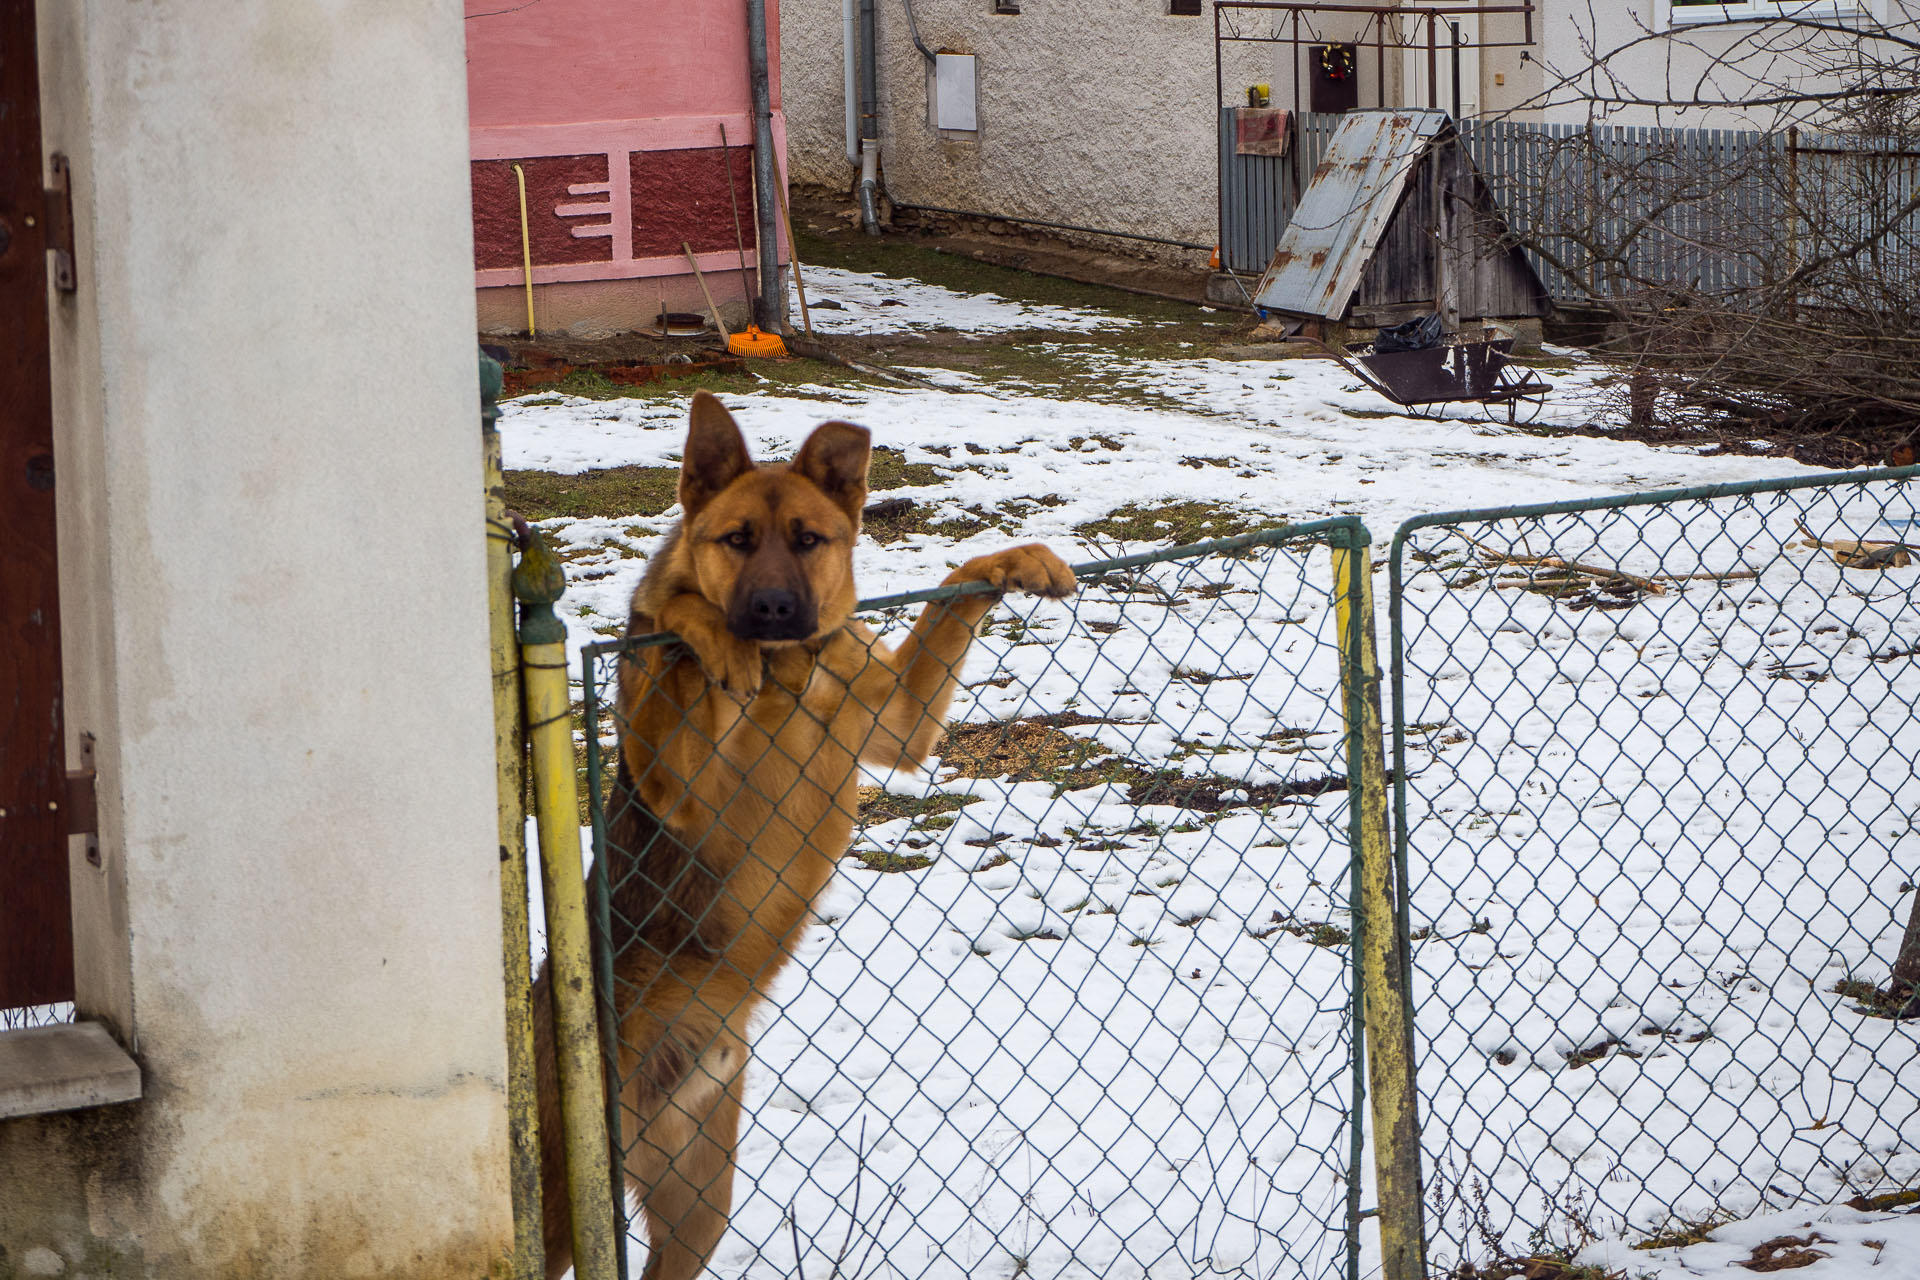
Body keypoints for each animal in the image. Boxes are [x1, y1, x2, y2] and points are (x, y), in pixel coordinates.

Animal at [537, 393, 1082, 1280]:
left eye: (808, 540)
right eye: (735, 541)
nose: (769, 613)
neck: (790, 673)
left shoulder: (898, 722)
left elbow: (951, 594)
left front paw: (1017, 561)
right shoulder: (672, 782)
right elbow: (679, 639)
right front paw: (704, 628)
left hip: (699, 1202)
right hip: (561, 1197)